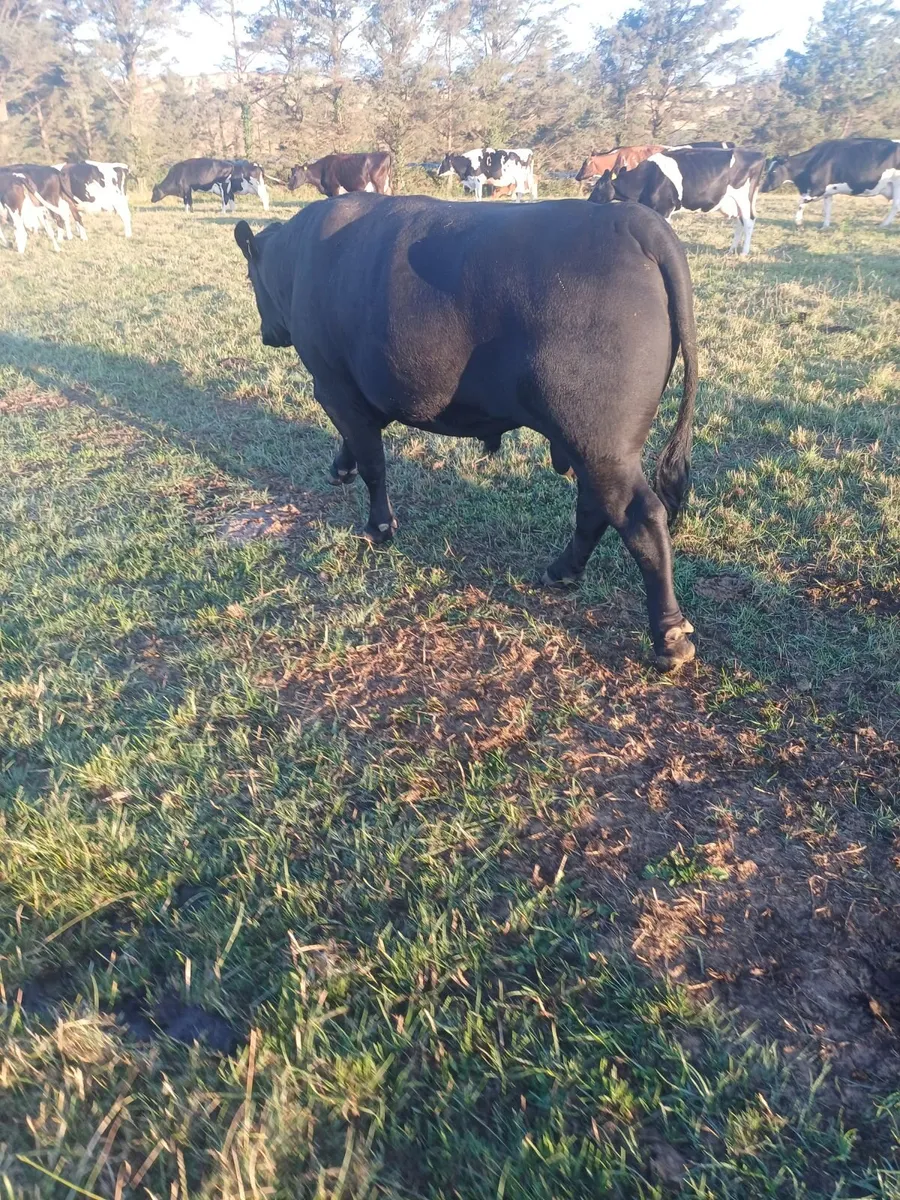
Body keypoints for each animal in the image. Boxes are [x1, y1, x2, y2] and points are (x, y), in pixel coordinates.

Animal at [234, 194, 699, 671]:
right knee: (594, 507)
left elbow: (373, 464)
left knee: (639, 517)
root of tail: (631, 218)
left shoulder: (332, 384)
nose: (268, 334)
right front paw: (340, 468)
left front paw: (379, 526)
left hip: (599, 440)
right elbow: (358, 446)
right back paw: (562, 570)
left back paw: (668, 637)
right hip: (594, 445)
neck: (297, 260)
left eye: (249, 276)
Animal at [589, 147, 766, 256]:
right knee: (739, 222)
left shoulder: (665, 208)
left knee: (749, 221)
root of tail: (757, 153)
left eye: (598, 186)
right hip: (733, 203)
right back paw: (731, 250)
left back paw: (744, 252)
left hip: (744, 198)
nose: (589, 201)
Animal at [762, 137, 900, 228]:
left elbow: (800, 203)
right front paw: (825, 226)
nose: (762, 188)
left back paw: (883, 224)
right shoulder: (827, 192)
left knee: (895, 205)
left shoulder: (817, 190)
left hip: (897, 185)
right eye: (767, 169)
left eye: (773, 171)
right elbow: (826, 209)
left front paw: (798, 222)